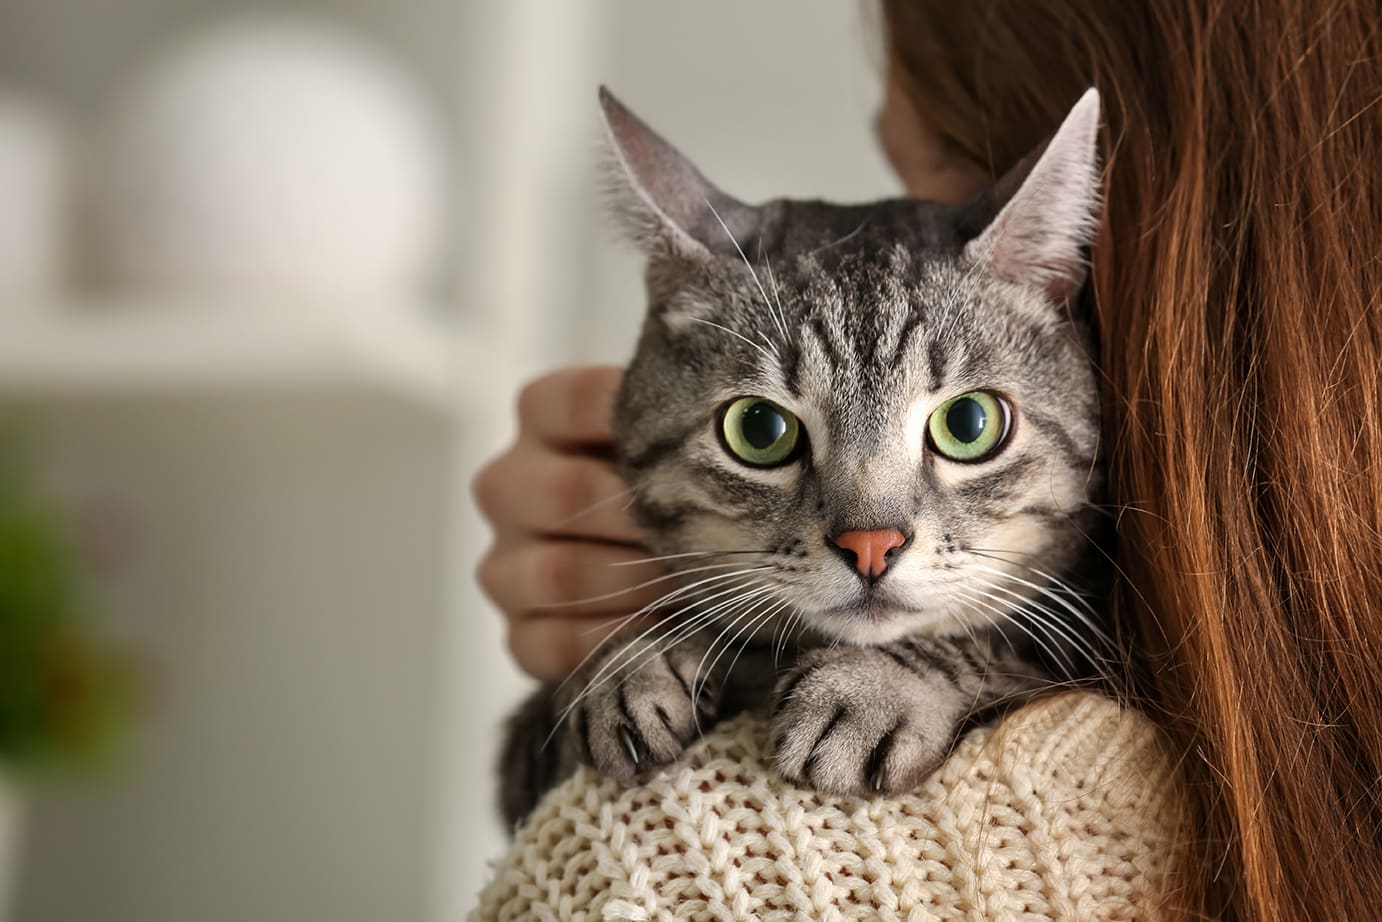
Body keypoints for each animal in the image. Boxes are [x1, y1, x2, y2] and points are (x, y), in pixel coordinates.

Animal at [497, 88, 1111, 829]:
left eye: (968, 424)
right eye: (759, 429)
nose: (871, 545)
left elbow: (1003, 645)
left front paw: (870, 689)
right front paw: (629, 663)